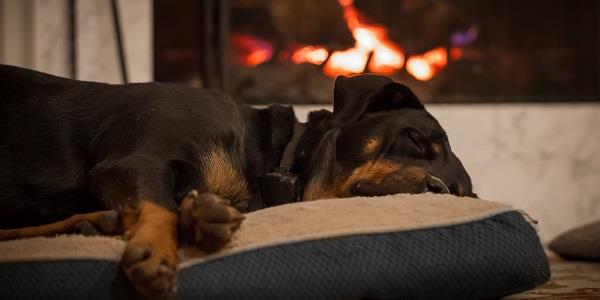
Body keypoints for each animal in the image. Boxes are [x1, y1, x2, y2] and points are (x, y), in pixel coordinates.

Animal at [0, 65, 474, 298]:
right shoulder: (133, 161)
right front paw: (158, 251)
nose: (440, 189)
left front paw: (201, 216)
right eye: (414, 139)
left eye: (462, 194)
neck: (269, 156)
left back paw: (92, 223)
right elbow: (158, 205)